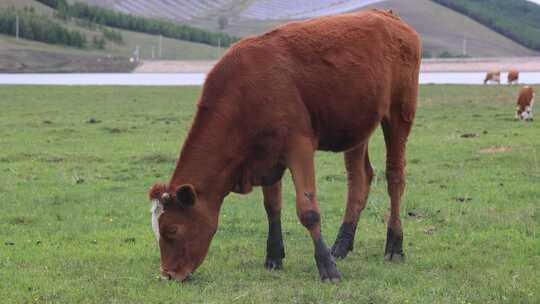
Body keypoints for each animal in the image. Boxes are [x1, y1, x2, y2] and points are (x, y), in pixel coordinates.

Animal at [148, 10, 422, 284]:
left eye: (173, 230)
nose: (168, 275)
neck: (246, 93)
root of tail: (387, 16)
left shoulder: (299, 146)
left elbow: (308, 210)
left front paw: (327, 268)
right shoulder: (267, 156)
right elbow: (272, 207)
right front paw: (274, 256)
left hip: (399, 115)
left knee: (395, 178)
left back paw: (394, 245)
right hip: (357, 126)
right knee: (359, 180)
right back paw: (342, 245)